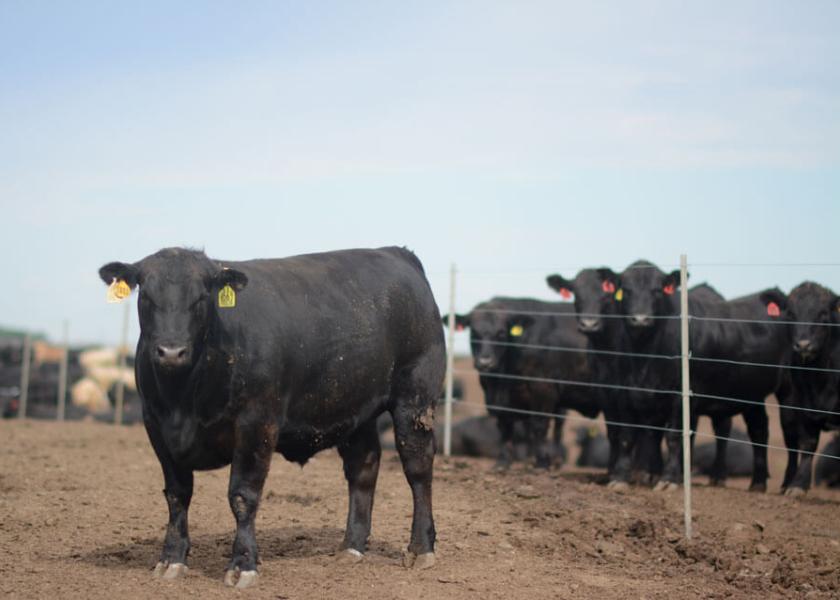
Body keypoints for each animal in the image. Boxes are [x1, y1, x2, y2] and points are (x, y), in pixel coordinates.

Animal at [99, 246, 446, 588]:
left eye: (201, 296)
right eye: (146, 296)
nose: (171, 351)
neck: (183, 399)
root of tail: (396, 253)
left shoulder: (256, 423)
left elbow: (242, 496)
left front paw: (243, 565)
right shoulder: (156, 426)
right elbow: (177, 495)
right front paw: (171, 559)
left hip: (414, 399)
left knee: (418, 469)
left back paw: (420, 548)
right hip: (355, 408)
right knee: (363, 468)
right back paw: (352, 546)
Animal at [442, 298, 592, 472]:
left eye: (501, 333)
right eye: (473, 332)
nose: (485, 363)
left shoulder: (543, 389)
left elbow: (539, 425)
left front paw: (541, 463)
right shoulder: (498, 400)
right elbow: (505, 427)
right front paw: (503, 462)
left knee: (559, 425)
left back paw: (556, 459)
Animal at [764, 284, 840, 494]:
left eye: (823, 313)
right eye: (791, 313)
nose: (804, 345)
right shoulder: (803, 407)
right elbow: (808, 444)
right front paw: (798, 485)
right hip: (787, 409)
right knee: (791, 445)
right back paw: (787, 482)